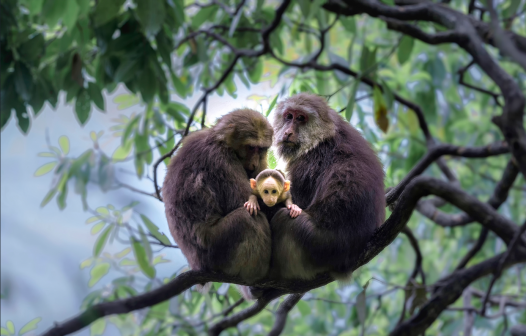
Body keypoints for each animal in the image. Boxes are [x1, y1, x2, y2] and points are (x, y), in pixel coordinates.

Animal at [163, 109, 274, 288]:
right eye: (251, 147)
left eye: (261, 149)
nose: (254, 163)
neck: (220, 141)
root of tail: (197, 264)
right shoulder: (220, 159)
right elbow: (251, 202)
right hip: (215, 250)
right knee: (248, 218)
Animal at [268, 92, 388, 280]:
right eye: (288, 116)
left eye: (300, 118)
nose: (287, 132)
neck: (320, 139)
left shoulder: (308, 164)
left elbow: (293, 203)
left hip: (317, 246)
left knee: (285, 219)